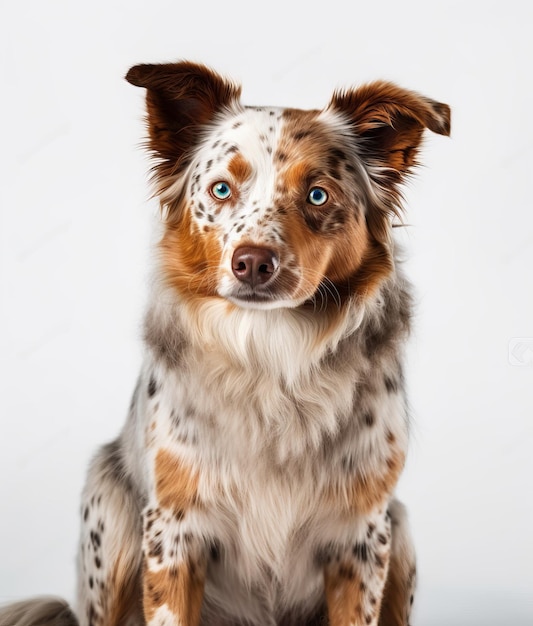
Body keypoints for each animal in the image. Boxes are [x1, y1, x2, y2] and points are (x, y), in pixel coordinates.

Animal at [0, 59, 448, 624]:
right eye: (220, 190)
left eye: (318, 194)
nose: (253, 262)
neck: (271, 354)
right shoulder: (174, 529)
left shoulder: (361, 536)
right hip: (111, 509)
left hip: (401, 530)